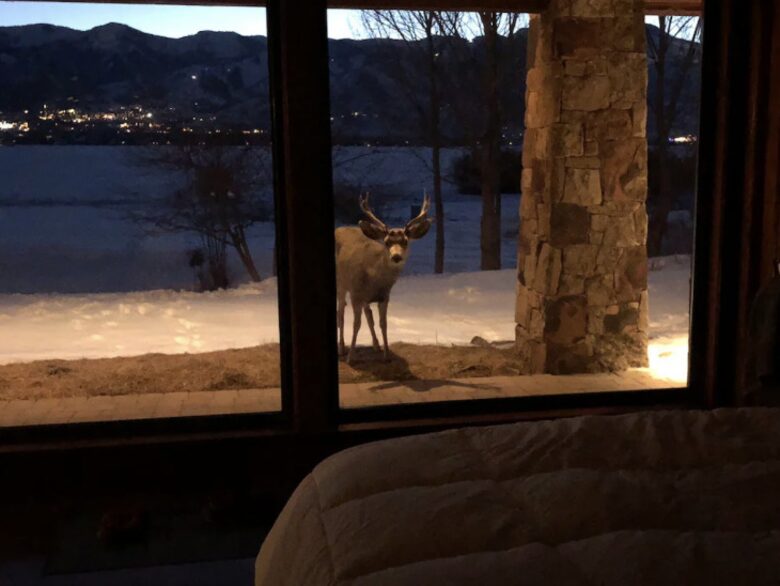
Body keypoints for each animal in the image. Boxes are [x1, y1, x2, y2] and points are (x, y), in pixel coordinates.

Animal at [335, 193, 432, 364]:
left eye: (405, 241)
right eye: (387, 242)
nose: (396, 257)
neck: (374, 278)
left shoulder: (384, 297)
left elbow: (383, 323)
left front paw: (386, 354)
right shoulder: (356, 294)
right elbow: (356, 324)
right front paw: (351, 357)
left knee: (368, 314)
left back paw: (376, 345)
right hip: (341, 282)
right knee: (340, 312)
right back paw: (341, 348)